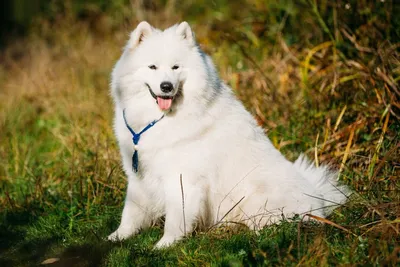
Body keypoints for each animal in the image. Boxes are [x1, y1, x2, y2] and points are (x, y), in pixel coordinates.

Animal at [108, 21, 348, 249]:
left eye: (176, 67)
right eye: (153, 67)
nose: (166, 86)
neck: (159, 119)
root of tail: (319, 202)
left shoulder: (183, 180)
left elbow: (176, 218)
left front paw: (165, 245)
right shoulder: (139, 174)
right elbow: (130, 212)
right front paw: (117, 237)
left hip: (255, 196)